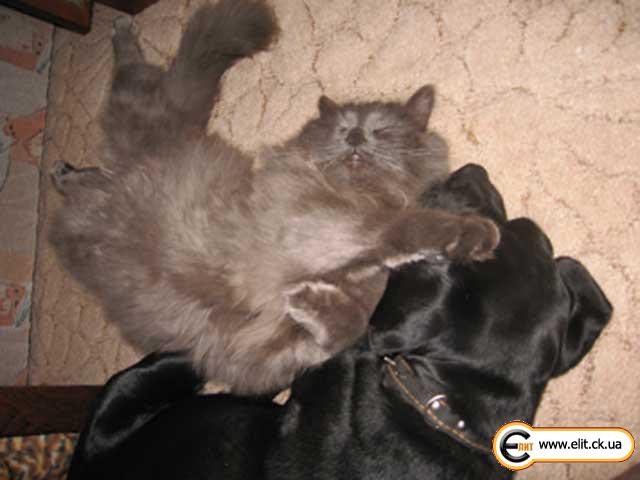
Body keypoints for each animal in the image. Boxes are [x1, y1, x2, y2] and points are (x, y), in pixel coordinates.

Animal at [49, 0, 499, 395]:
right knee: (135, 74)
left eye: (381, 131)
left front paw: (309, 302)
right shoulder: (321, 227)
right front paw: (476, 233)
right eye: (341, 129)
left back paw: (64, 174)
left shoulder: (261, 352)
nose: (355, 135)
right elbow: (403, 227)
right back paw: (122, 29)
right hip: (146, 109)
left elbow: (344, 331)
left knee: (99, 168)